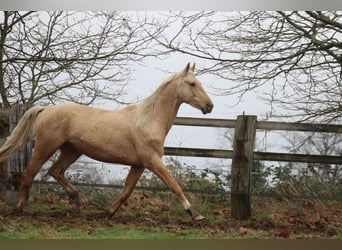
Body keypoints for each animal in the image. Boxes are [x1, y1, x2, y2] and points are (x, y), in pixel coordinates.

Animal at [0, 63, 212, 221]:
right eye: (192, 84)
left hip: (71, 150)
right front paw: (196, 214)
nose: (209, 106)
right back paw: (19, 208)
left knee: (56, 171)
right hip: (46, 147)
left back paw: (76, 201)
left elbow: (126, 191)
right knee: (29, 174)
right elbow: (174, 185)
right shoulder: (152, 161)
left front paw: (108, 213)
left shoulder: (139, 165)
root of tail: (45, 109)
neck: (148, 121)